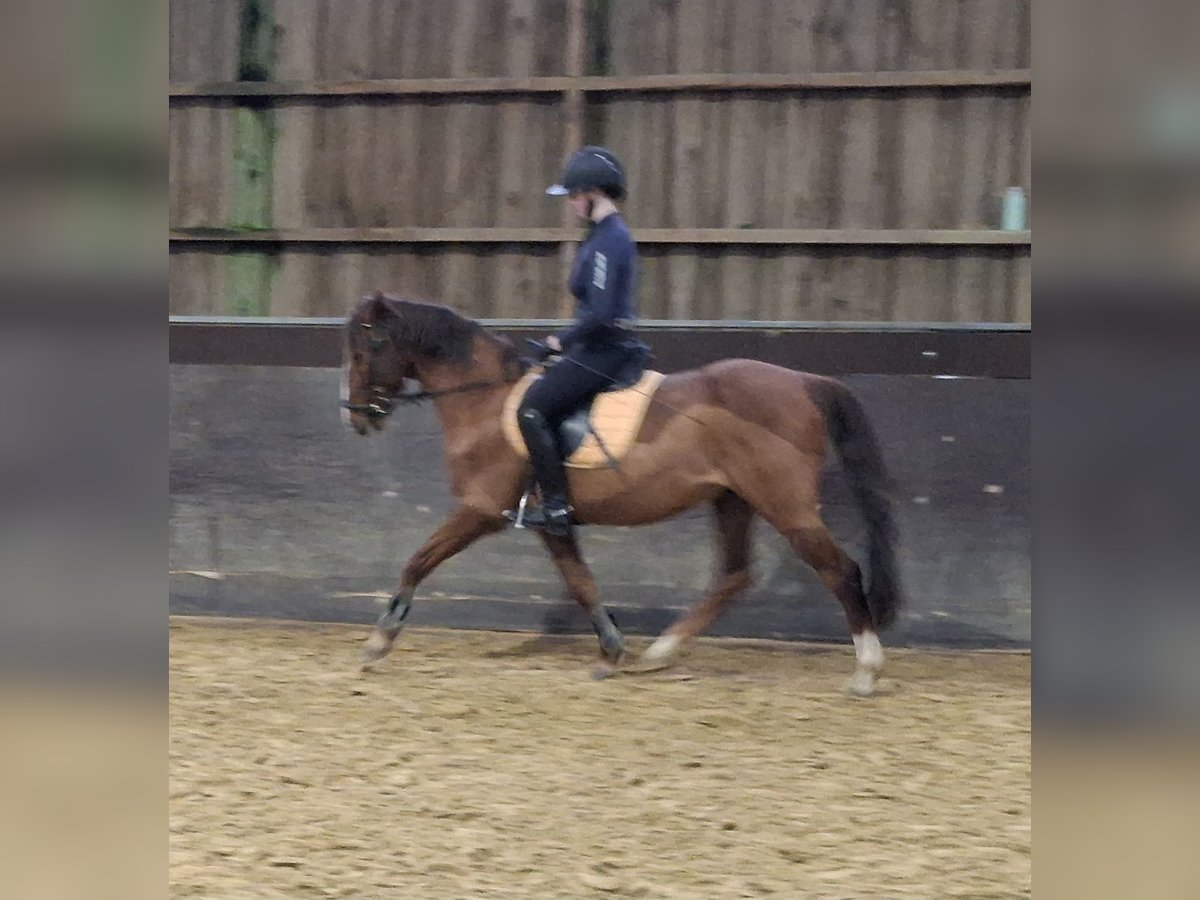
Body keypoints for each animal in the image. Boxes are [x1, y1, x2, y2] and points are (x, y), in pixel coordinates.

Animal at [338, 296, 902, 696]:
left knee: (840, 571)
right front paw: (611, 652)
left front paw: (380, 639)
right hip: (731, 499)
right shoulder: (551, 522)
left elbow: (418, 560)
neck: (484, 400)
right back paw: (661, 652)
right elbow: (582, 581)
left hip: (784, 503)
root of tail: (806, 381)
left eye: (368, 348)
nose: (357, 416)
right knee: (735, 574)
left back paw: (866, 671)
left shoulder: (478, 510)